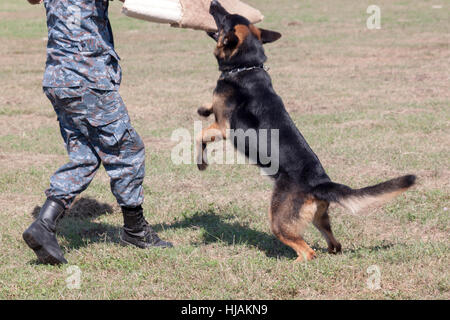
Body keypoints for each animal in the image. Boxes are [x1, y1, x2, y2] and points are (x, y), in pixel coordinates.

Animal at [197, 0, 414, 262]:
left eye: (225, 17)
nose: (214, 3)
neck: (245, 66)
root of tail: (320, 183)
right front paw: (203, 108)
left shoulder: (223, 128)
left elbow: (199, 136)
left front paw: (201, 163)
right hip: (319, 219)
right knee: (334, 243)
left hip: (278, 220)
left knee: (308, 251)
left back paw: (293, 263)